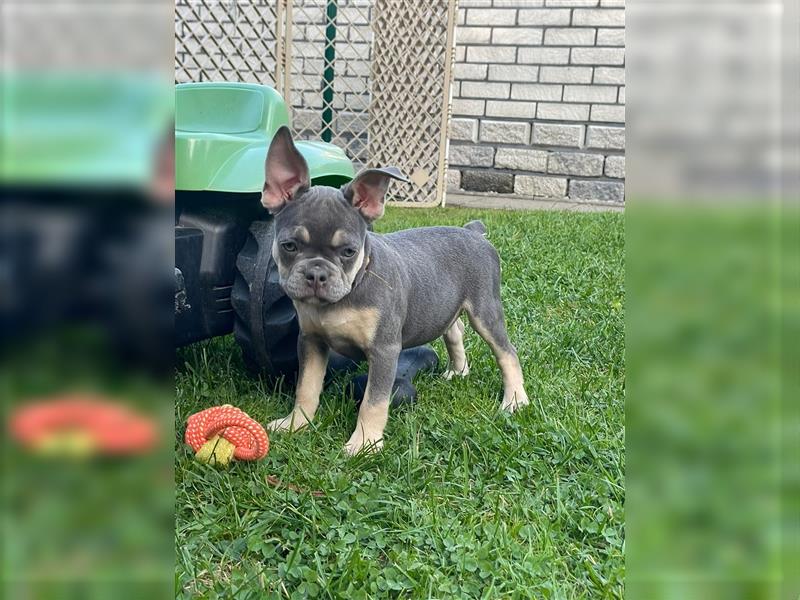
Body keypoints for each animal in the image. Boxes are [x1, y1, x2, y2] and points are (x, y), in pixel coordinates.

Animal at [260, 126, 528, 454]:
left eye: (349, 252)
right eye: (289, 246)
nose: (316, 274)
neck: (350, 290)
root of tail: (474, 231)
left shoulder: (384, 351)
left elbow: (373, 401)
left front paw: (364, 443)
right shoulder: (311, 342)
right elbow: (306, 388)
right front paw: (296, 423)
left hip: (485, 310)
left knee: (507, 353)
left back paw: (514, 400)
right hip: (444, 305)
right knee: (455, 329)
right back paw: (458, 370)